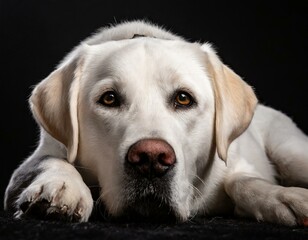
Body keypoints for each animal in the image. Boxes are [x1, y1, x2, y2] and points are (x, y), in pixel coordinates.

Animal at [4, 20, 308, 225]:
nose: (151, 158)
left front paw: (284, 198)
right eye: (109, 99)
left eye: (184, 99)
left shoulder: (237, 164)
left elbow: (242, 180)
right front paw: (60, 186)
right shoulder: (28, 168)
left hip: (291, 154)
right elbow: (51, 160)